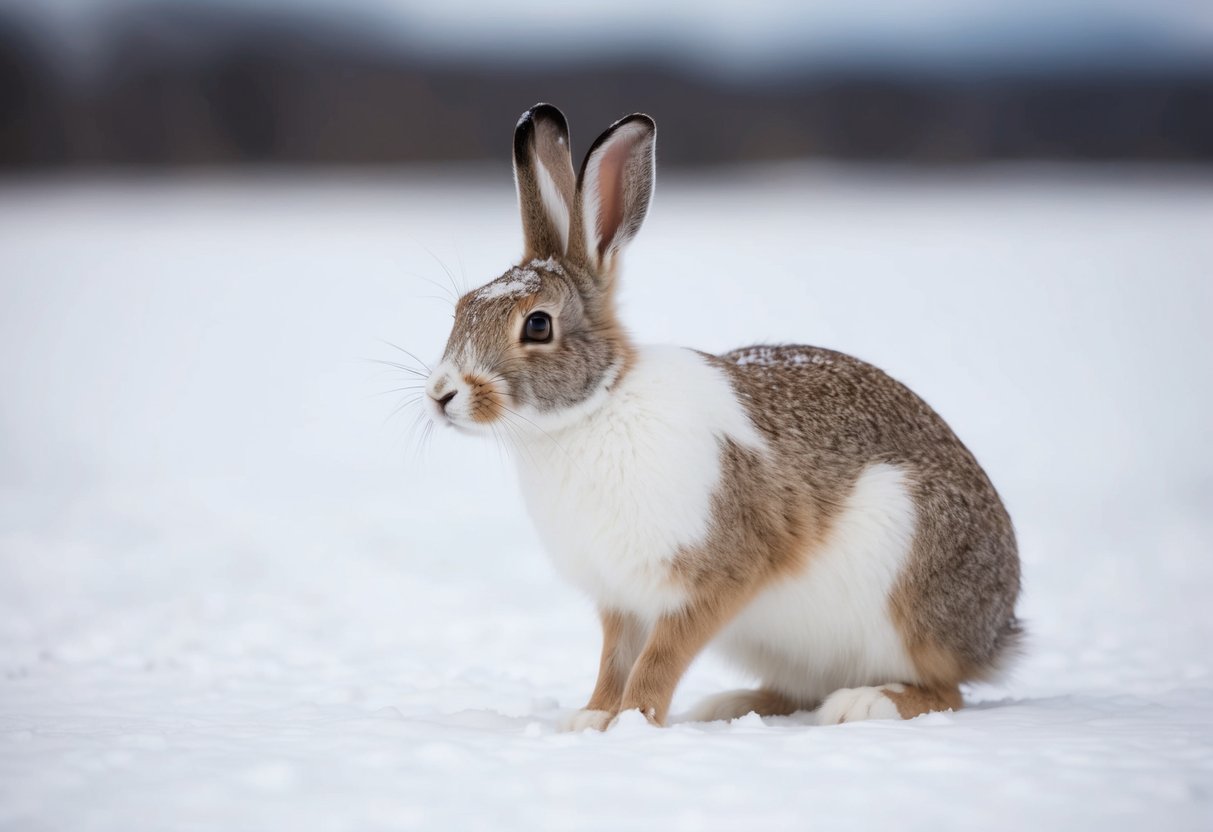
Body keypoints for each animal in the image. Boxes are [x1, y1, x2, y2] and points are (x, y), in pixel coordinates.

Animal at [423, 103, 1021, 731]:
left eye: (537, 326)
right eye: (463, 308)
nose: (441, 394)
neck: (594, 407)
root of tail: (997, 631)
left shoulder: (715, 576)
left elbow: (659, 659)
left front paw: (634, 721)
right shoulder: (621, 599)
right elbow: (615, 659)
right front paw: (591, 719)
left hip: (909, 587)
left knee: (945, 688)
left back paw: (864, 702)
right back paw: (731, 705)